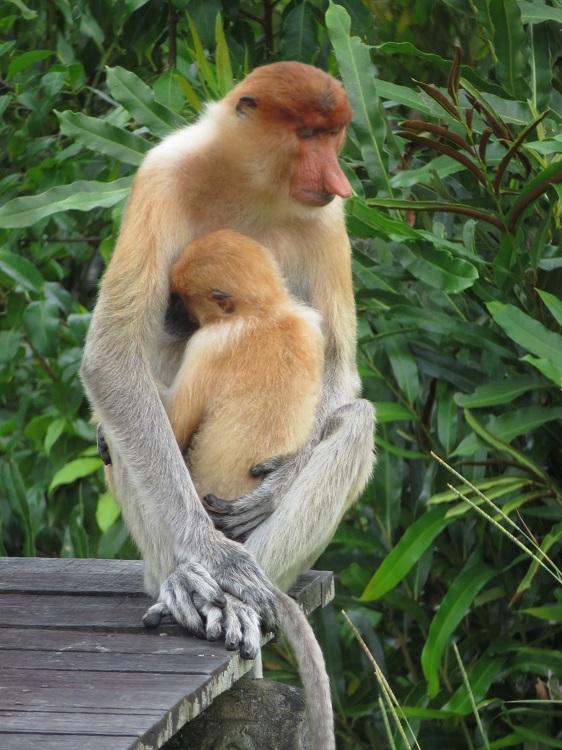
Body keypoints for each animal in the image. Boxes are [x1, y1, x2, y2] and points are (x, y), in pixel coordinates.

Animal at [80, 61, 376, 727]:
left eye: (333, 136)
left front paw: (275, 488)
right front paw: (212, 561)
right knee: (123, 423)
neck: (250, 181)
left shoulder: (328, 220)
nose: (337, 179)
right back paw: (190, 584)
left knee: (358, 418)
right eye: (309, 134)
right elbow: (113, 358)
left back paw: (245, 591)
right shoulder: (159, 175)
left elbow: (341, 369)